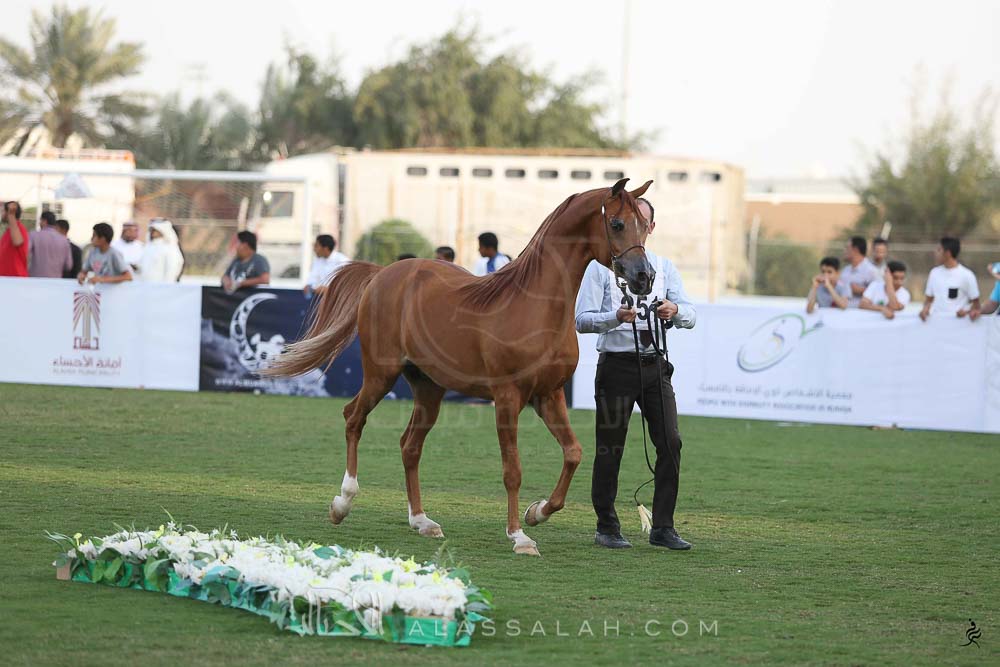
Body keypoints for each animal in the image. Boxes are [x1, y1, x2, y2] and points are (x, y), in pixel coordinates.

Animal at [265, 178, 655, 555]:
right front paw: (519, 536)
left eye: (646, 225)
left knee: (410, 445)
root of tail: (382, 274)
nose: (644, 277)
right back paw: (342, 503)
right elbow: (512, 470)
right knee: (353, 418)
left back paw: (422, 521)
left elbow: (573, 453)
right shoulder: (507, 398)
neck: (534, 304)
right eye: (617, 223)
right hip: (380, 374)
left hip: (429, 388)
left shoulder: (548, 395)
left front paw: (538, 512)